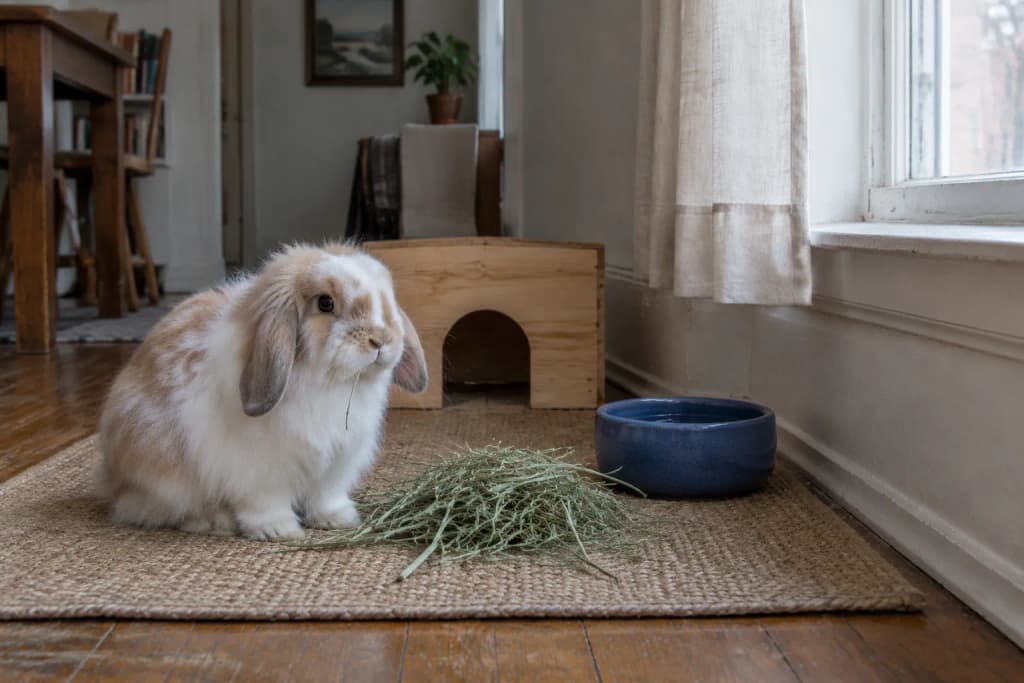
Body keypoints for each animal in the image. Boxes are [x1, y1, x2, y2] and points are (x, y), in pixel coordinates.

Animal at [96, 242, 427, 540]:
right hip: (165, 477)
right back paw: (216, 522)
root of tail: (114, 481)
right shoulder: (260, 471)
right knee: (161, 510)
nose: (381, 340)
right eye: (325, 303)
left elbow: (325, 496)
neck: (330, 385)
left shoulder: (336, 465)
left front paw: (338, 519)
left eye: (387, 300)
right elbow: (265, 502)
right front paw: (278, 530)